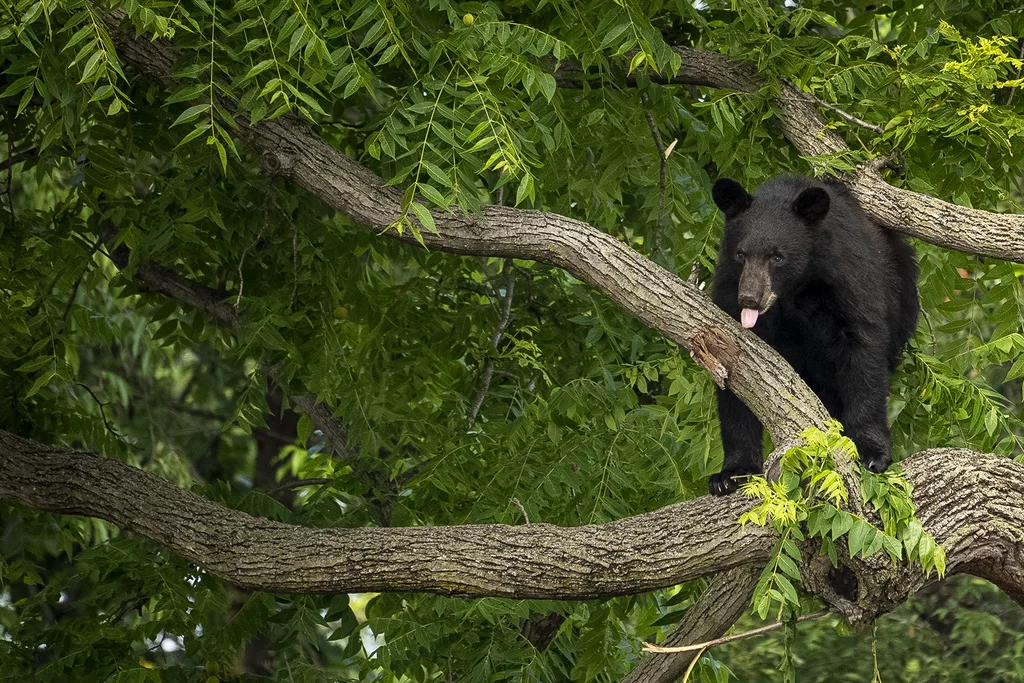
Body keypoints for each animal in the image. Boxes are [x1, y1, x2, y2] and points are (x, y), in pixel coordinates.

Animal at [708, 175, 917, 497]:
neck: (796, 289)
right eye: (741, 254)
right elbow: (734, 376)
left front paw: (871, 452)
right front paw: (731, 473)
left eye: (777, 256)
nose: (750, 299)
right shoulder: (729, 290)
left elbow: (863, 352)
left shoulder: (846, 279)